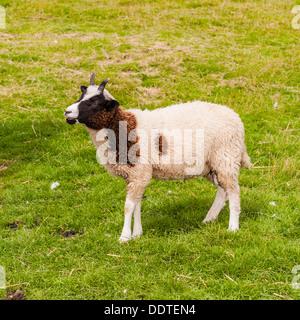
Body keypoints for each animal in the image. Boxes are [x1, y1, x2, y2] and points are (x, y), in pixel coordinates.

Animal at [63, 74, 251, 241]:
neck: (120, 126)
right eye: (81, 96)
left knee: (234, 192)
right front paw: (137, 234)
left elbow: (128, 206)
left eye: (95, 102)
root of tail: (236, 118)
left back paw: (233, 227)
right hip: (211, 165)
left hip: (225, 158)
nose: (67, 112)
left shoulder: (139, 172)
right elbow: (137, 204)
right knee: (223, 190)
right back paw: (209, 219)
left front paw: (124, 237)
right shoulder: (135, 175)